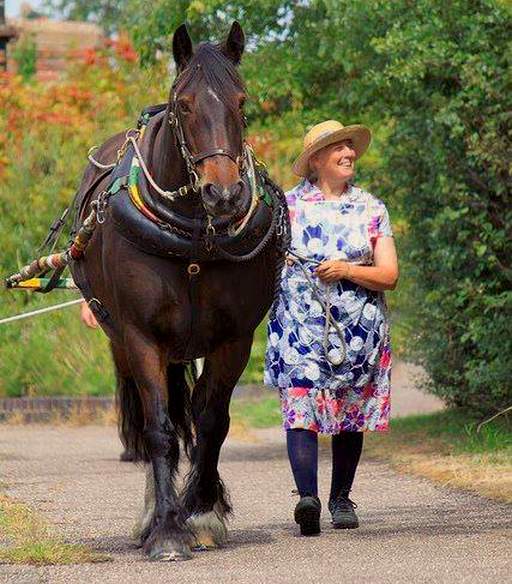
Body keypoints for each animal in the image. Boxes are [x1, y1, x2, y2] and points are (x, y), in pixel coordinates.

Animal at [69, 22, 288, 560]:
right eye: (184, 105)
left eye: (241, 101)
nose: (224, 194)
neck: (193, 234)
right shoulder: (140, 336)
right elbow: (160, 428)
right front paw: (167, 529)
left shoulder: (234, 339)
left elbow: (212, 421)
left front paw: (203, 513)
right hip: (125, 340)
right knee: (156, 419)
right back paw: (151, 516)